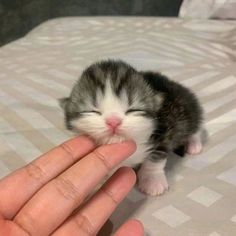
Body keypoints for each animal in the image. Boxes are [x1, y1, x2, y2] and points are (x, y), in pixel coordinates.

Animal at [59, 60, 205, 196]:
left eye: (133, 110)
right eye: (92, 111)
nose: (113, 121)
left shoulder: (166, 127)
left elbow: (156, 155)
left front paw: (152, 180)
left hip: (185, 108)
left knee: (195, 127)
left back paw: (194, 144)